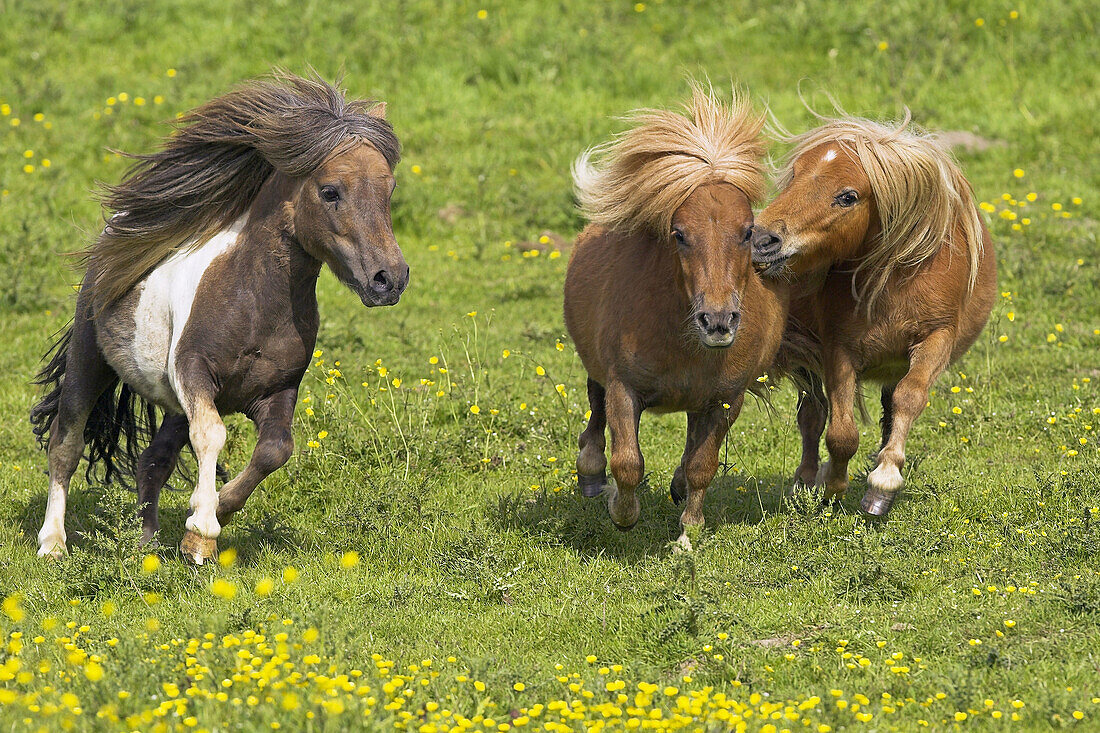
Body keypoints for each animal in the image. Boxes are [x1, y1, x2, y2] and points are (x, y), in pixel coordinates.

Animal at [31, 72, 409, 559]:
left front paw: (211, 519)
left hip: (172, 405)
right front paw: (203, 529)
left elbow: (274, 451)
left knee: (151, 461)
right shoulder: (194, 373)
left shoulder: (278, 389)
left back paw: (147, 547)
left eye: (389, 189)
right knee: (66, 443)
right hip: (90, 360)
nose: (389, 279)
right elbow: (212, 435)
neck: (253, 303)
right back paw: (53, 544)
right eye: (330, 191)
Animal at [563, 85, 787, 545]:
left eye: (747, 232)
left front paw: (688, 534)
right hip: (597, 369)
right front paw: (622, 512)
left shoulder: (725, 399)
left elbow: (703, 465)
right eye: (679, 234)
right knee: (594, 412)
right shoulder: (622, 387)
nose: (717, 322)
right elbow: (627, 462)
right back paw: (591, 476)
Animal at [748, 112, 998, 512]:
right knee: (813, 414)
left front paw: (884, 481)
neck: (895, 278)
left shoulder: (936, 339)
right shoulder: (837, 349)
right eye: (795, 175)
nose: (761, 239)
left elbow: (908, 399)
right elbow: (841, 432)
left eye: (847, 196)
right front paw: (833, 486)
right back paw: (806, 480)